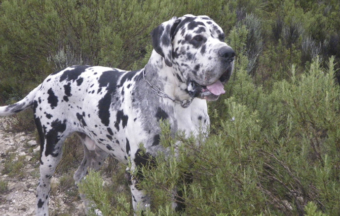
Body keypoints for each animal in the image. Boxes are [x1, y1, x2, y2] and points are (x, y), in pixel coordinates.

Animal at [0, 14, 234, 215]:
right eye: (197, 38)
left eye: (221, 36)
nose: (229, 53)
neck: (178, 104)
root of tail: (46, 80)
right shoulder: (140, 175)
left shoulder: (187, 167)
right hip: (50, 153)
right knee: (42, 190)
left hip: (98, 151)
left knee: (81, 178)